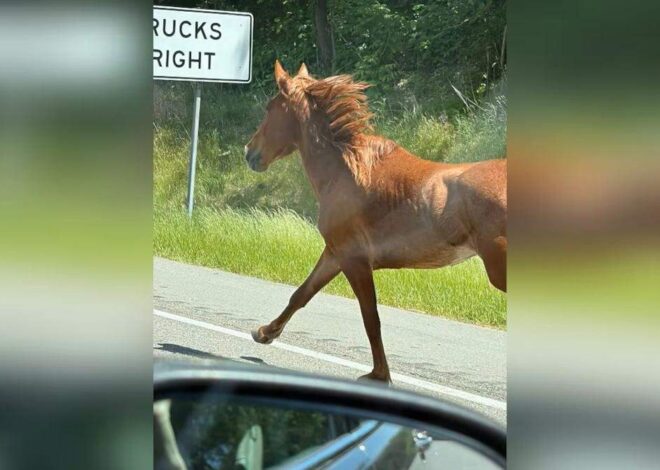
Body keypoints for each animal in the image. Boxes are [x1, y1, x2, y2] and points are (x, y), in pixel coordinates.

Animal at [244, 60, 506, 383]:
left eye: (270, 107)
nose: (249, 152)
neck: (344, 169)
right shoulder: (335, 253)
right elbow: (301, 294)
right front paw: (264, 333)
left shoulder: (354, 260)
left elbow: (371, 317)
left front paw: (379, 375)